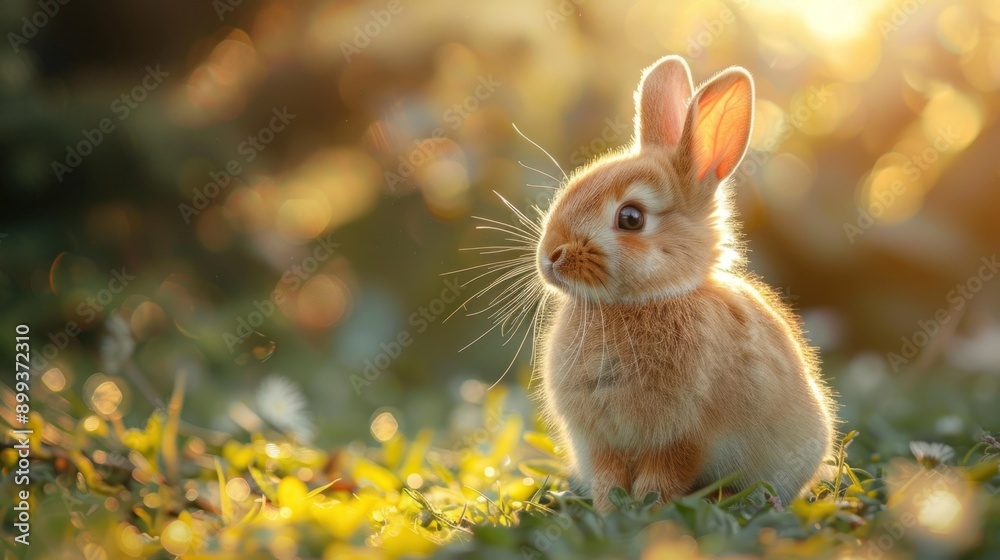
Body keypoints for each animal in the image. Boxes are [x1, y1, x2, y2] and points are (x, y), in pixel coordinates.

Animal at [534, 55, 837, 512]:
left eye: (631, 218)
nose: (551, 255)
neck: (644, 300)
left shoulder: (685, 438)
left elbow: (664, 477)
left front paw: (647, 511)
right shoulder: (601, 443)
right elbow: (608, 480)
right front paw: (610, 512)